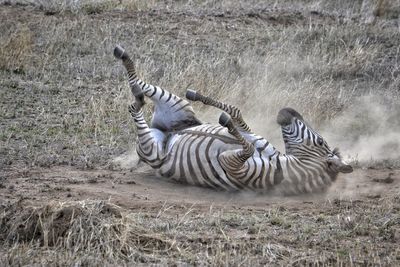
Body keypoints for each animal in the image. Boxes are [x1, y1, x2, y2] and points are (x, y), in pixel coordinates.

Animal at [113, 45, 354, 197]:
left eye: (320, 142)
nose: (288, 110)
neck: (283, 165)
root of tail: (166, 132)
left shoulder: (233, 165)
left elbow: (245, 144)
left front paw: (226, 123)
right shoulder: (252, 136)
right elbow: (237, 114)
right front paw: (209, 103)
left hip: (152, 148)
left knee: (135, 106)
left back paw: (136, 95)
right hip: (179, 106)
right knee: (139, 84)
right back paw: (123, 56)